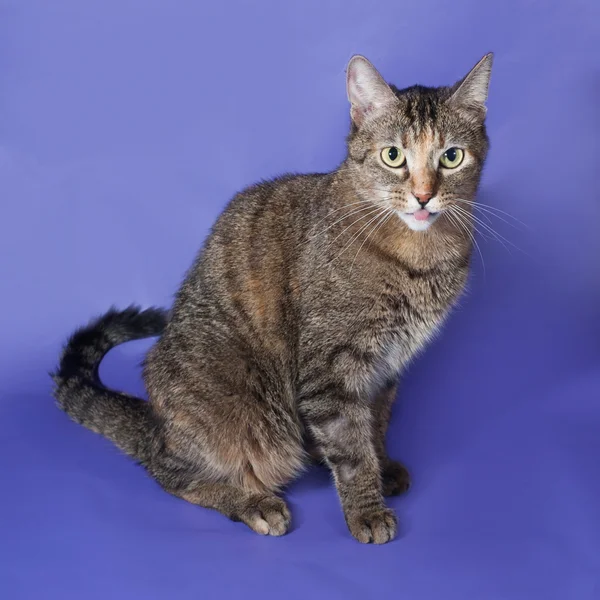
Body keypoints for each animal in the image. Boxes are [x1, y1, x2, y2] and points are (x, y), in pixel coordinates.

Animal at [51, 55, 492, 544]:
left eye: (451, 157)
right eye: (393, 156)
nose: (423, 195)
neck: (418, 257)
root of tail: (155, 425)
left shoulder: (386, 368)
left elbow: (375, 426)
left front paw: (382, 467)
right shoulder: (331, 368)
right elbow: (351, 449)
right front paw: (366, 508)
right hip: (244, 417)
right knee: (170, 473)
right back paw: (251, 501)